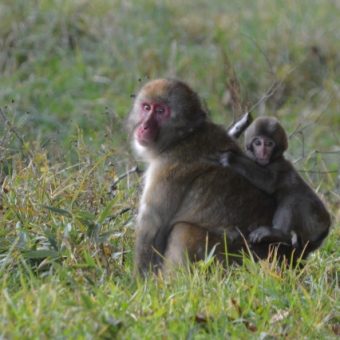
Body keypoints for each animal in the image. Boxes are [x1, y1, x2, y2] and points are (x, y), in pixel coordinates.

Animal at [127, 77, 294, 276]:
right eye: (146, 107)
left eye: (161, 111)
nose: (144, 126)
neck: (182, 138)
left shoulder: (166, 170)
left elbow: (152, 234)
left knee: (184, 230)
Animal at [218, 115, 330, 251]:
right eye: (258, 143)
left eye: (269, 144)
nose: (263, 152)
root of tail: (325, 228)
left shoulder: (279, 166)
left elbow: (269, 182)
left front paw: (232, 159)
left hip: (315, 221)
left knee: (293, 196)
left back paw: (279, 233)